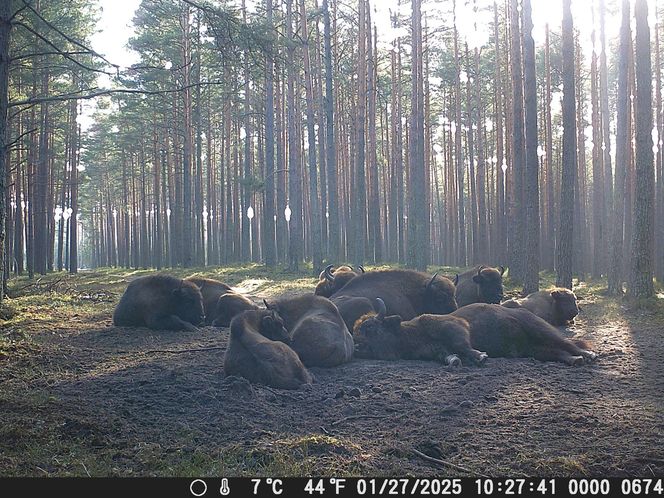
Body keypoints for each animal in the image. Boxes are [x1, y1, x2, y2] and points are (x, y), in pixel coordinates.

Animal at [352, 296, 488, 366]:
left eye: (369, 326)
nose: (356, 345)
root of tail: (463, 321)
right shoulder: (437, 352)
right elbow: (450, 356)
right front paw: (455, 361)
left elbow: (465, 348)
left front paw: (482, 356)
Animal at [452, 302, 596, 368]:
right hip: (532, 349)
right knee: (558, 352)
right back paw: (576, 360)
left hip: (540, 329)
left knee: (567, 344)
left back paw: (589, 355)